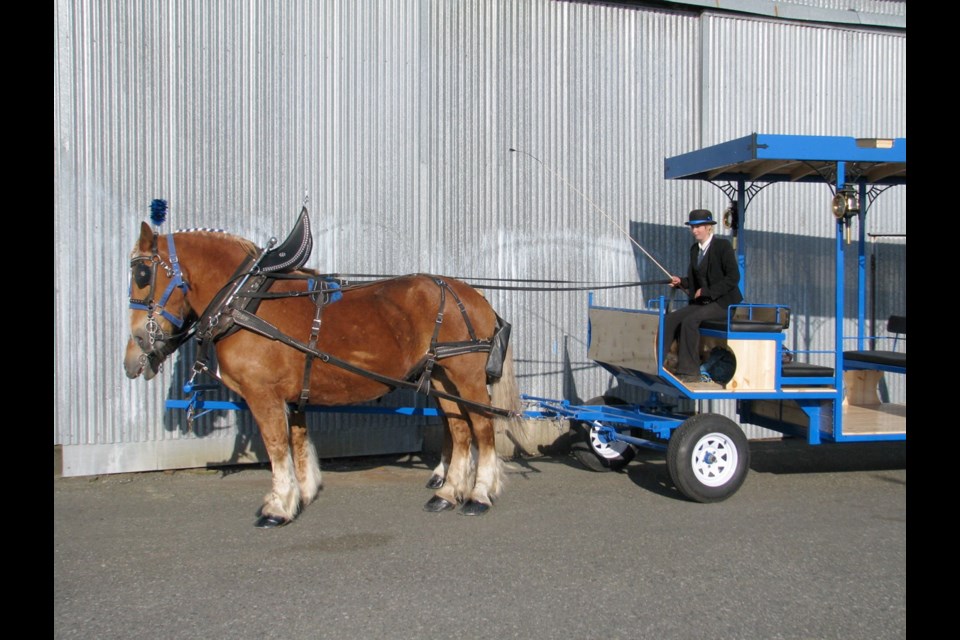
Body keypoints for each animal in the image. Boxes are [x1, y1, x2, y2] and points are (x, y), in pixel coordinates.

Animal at [125, 212, 524, 528]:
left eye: (143, 274)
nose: (134, 354)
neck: (244, 301)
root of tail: (472, 296)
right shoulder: (292, 397)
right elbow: (298, 442)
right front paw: (302, 494)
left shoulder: (263, 395)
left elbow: (277, 446)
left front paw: (277, 507)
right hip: (442, 377)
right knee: (460, 430)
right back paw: (448, 493)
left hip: (467, 377)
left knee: (483, 429)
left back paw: (479, 495)